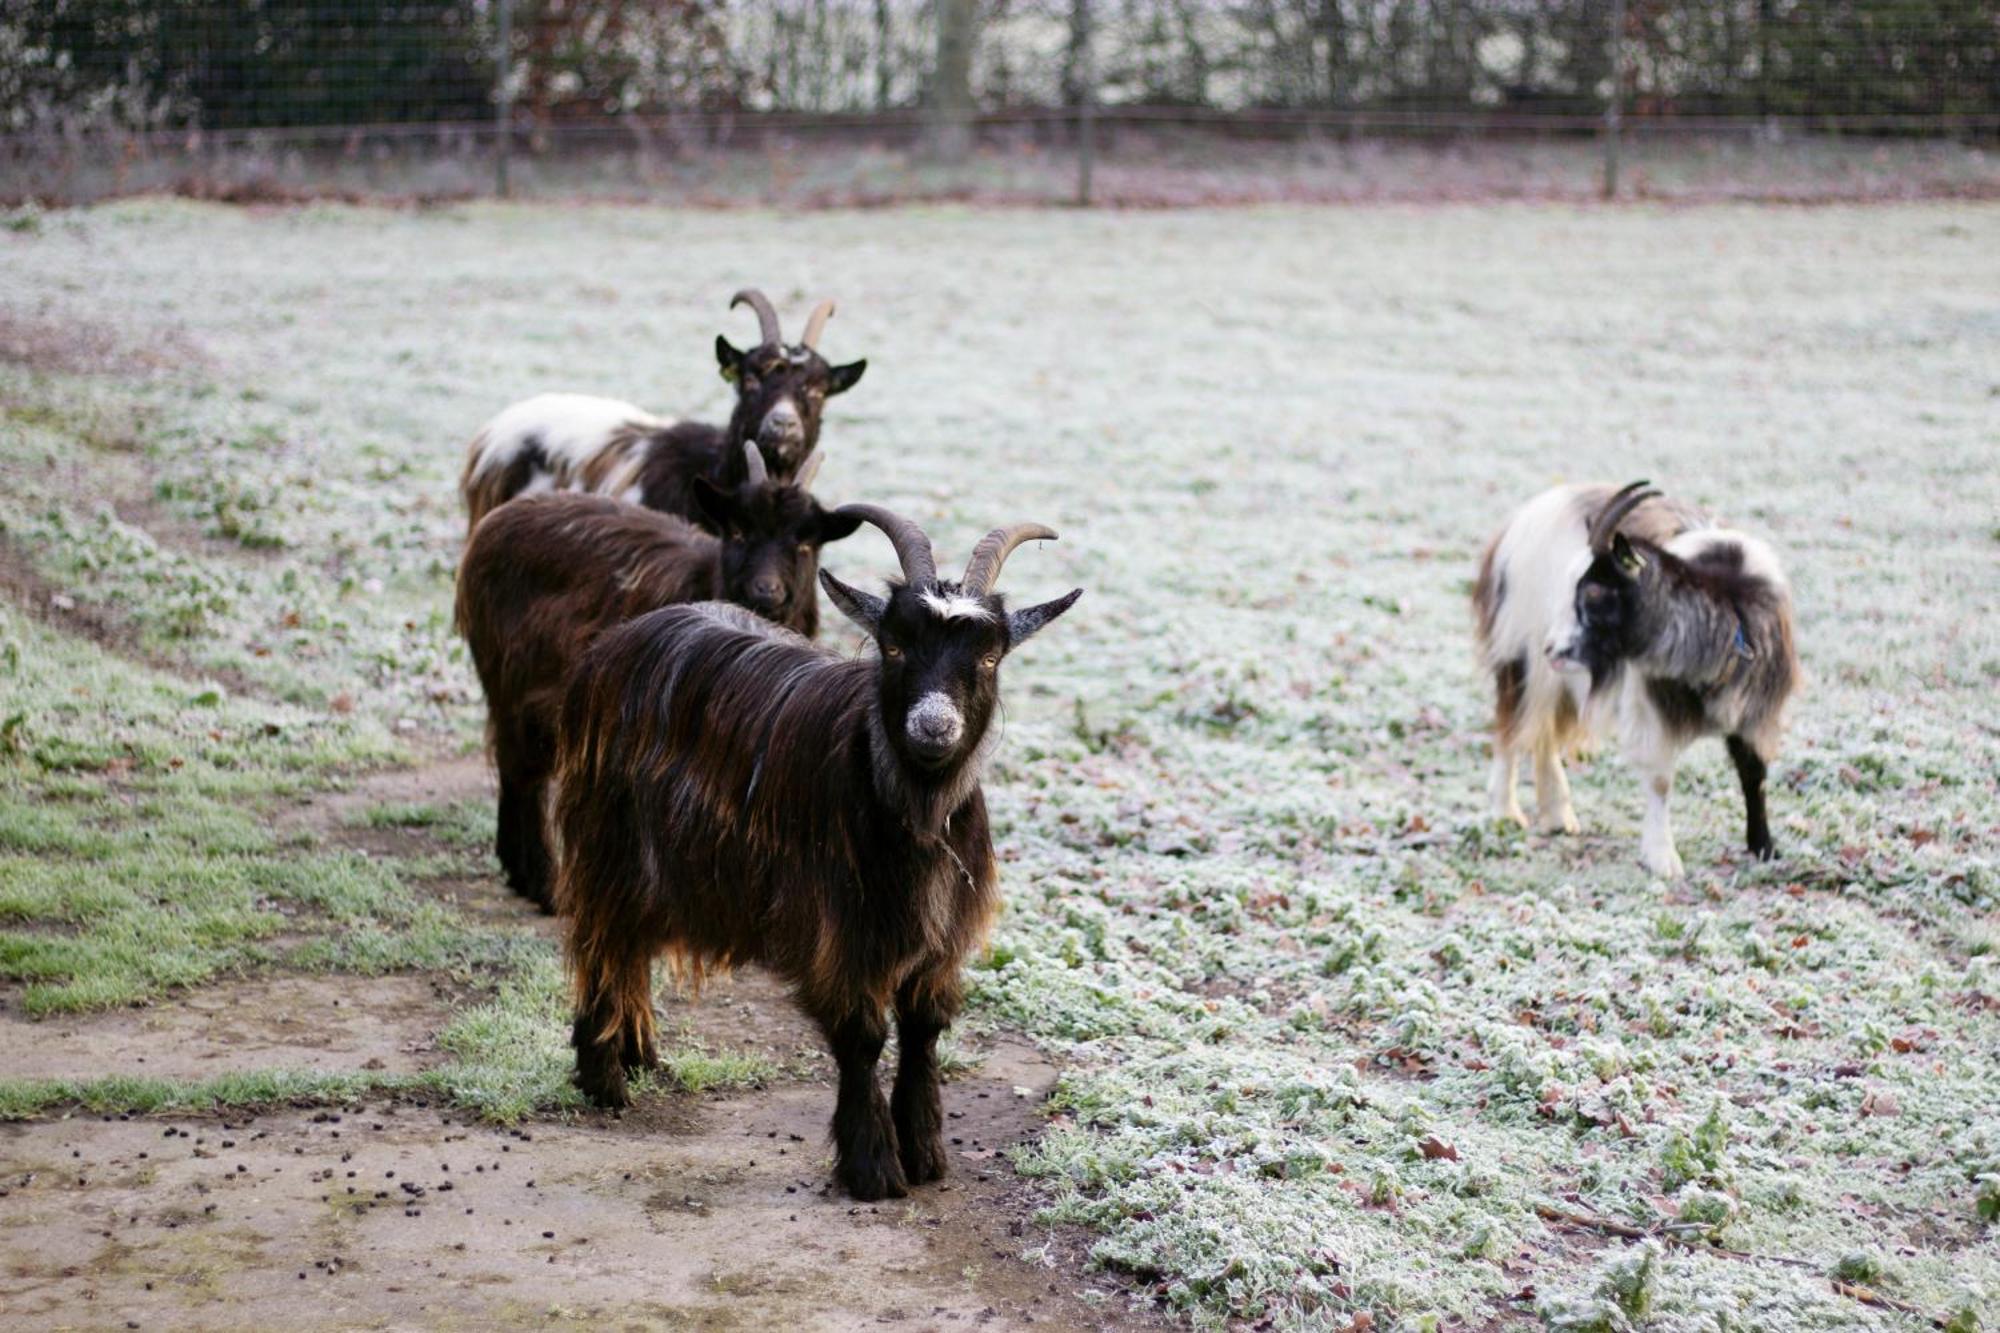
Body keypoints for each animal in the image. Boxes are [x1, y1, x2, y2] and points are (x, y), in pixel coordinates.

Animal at [1480, 482, 1808, 876]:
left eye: (1594, 593)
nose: (1553, 648)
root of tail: (1522, 518)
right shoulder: (1650, 707)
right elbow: (1660, 780)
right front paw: (1663, 859)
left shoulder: (1755, 709)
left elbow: (1753, 774)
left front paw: (1763, 847)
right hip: (1522, 652)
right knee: (1513, 722)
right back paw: (1505, 812)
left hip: (1565, 677)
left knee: (1543, 732)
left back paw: (1558, 815)